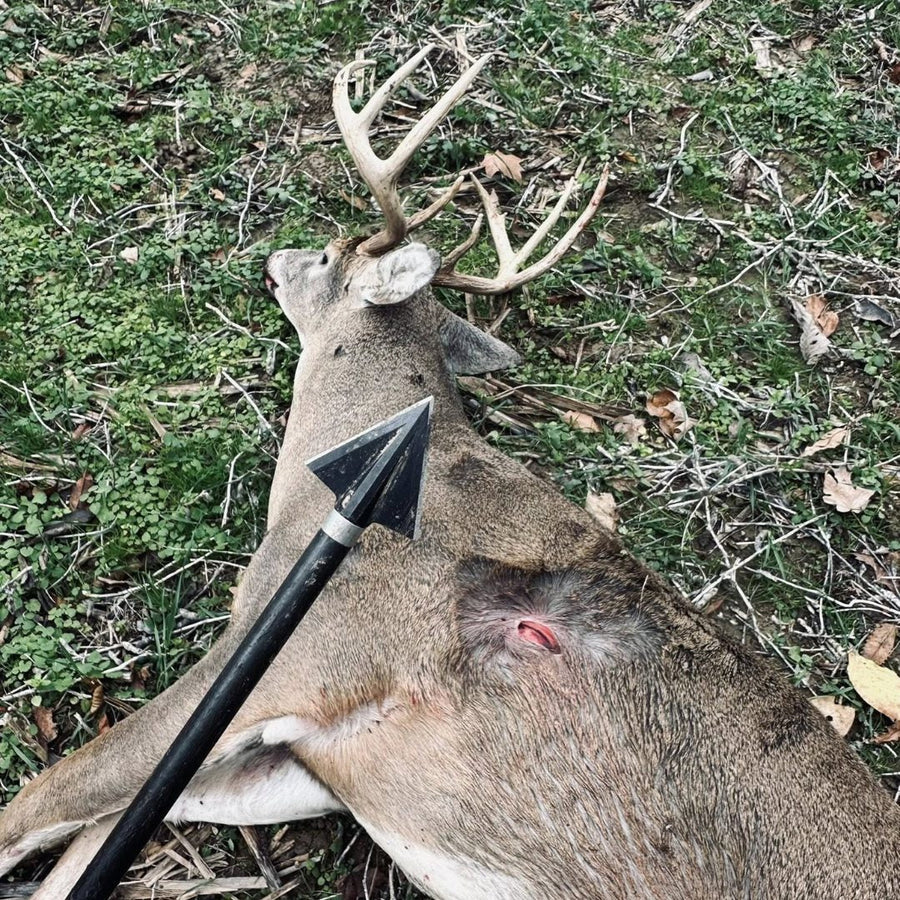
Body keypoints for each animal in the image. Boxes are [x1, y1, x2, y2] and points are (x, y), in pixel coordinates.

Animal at [2, 43, 900, 900]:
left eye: (325, 253)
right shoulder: (317, 760)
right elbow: (90, 839)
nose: (275, 254)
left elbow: (43, 800)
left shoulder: (305, 649)